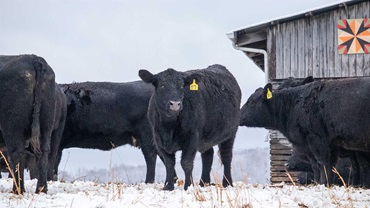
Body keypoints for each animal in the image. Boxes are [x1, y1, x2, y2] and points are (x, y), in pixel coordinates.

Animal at [0, 54, 66, 193]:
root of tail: (34, 59)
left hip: (13, 127)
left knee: (17, 153)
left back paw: (18, 189)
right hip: (47, 127)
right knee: (45, 153)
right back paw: (41, 188)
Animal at [241, 77, 370, 187]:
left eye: (251, 102)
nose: (239, 115)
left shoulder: (317, 139)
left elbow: (322, 163)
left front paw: (323, 184)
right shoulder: (328, 145)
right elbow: (324, 165)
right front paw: (322, 183)